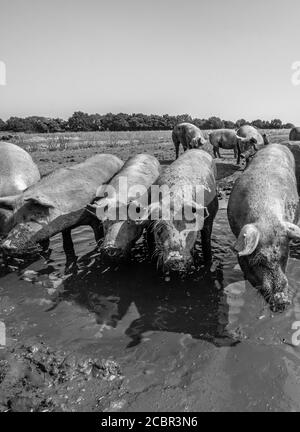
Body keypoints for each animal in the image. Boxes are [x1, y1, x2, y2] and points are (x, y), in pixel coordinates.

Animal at [139, 148, 219, 276]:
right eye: (160, 228)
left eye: (189, 225)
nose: (174, 258)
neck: (175, 198)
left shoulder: (209, 218)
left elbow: (206, 243)